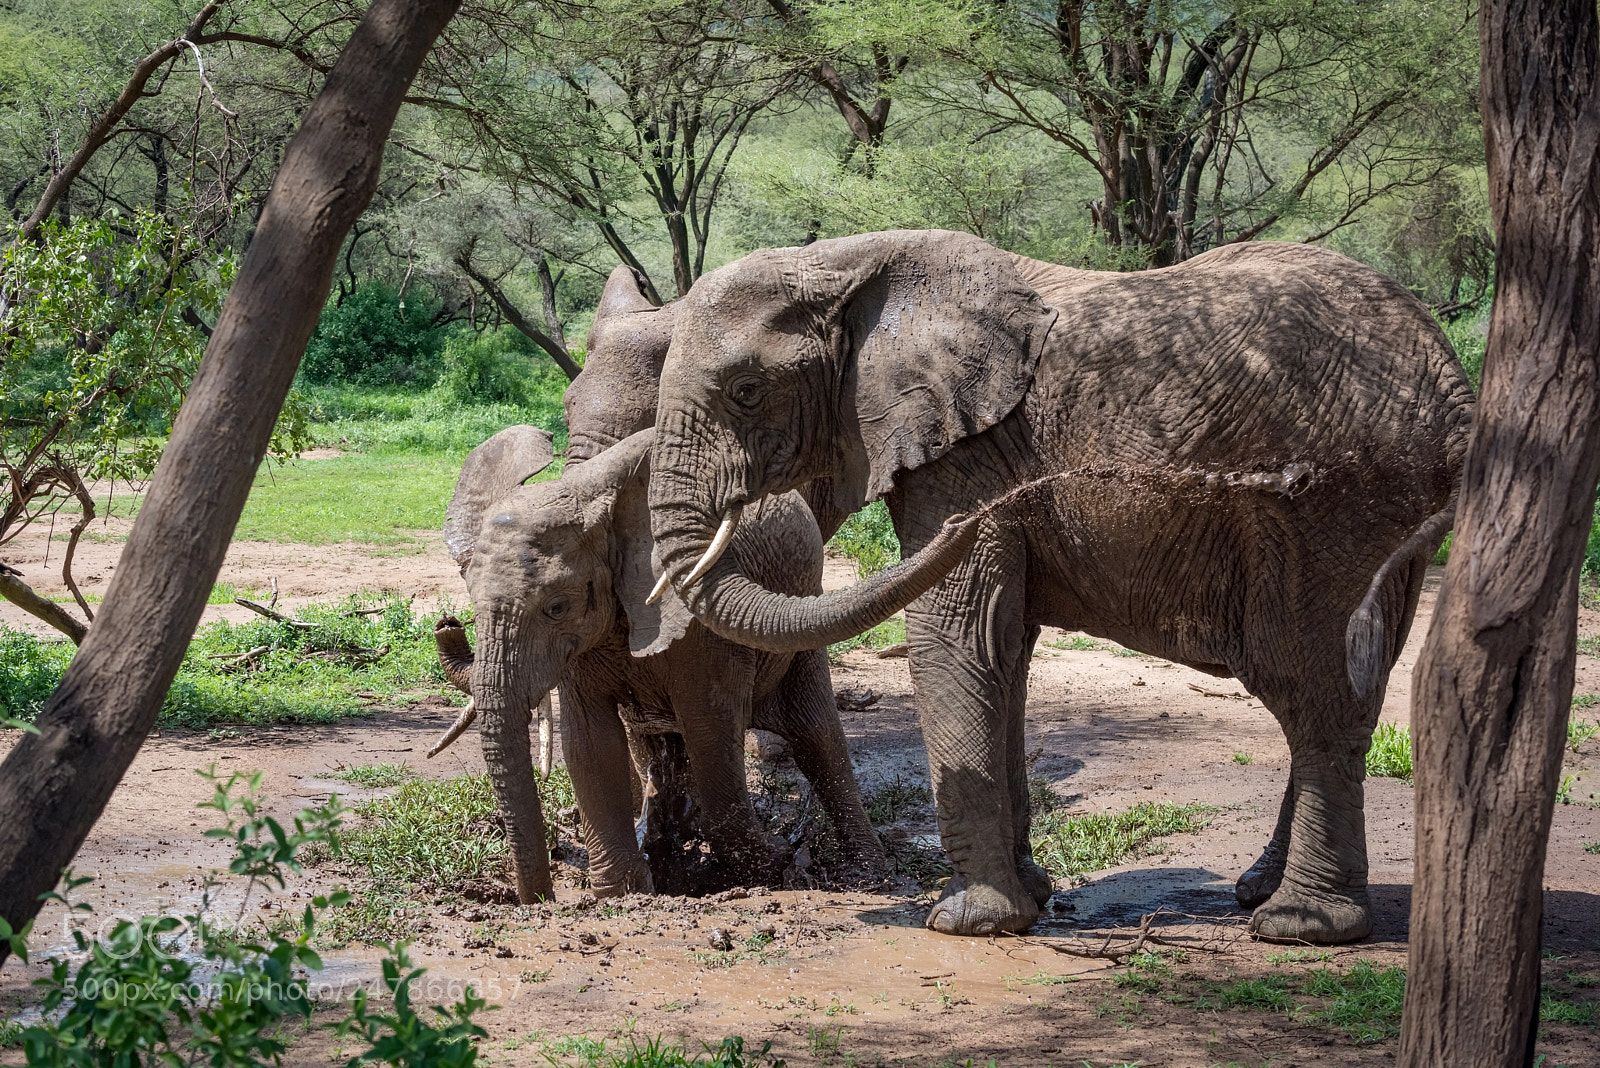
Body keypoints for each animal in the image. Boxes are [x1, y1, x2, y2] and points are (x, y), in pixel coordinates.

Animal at [640, 230, 1472, 940]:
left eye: (747, 391)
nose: (973, 520)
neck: (844, 262)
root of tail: (1457, 390)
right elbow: (1003, 647)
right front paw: (1030, 899)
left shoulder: (968, 456)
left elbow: (957, 634)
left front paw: (968, 922)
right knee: (1338, 688)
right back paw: (1258, 893)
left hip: (1338, 506)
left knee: (1311, 688)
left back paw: (1301, 926)